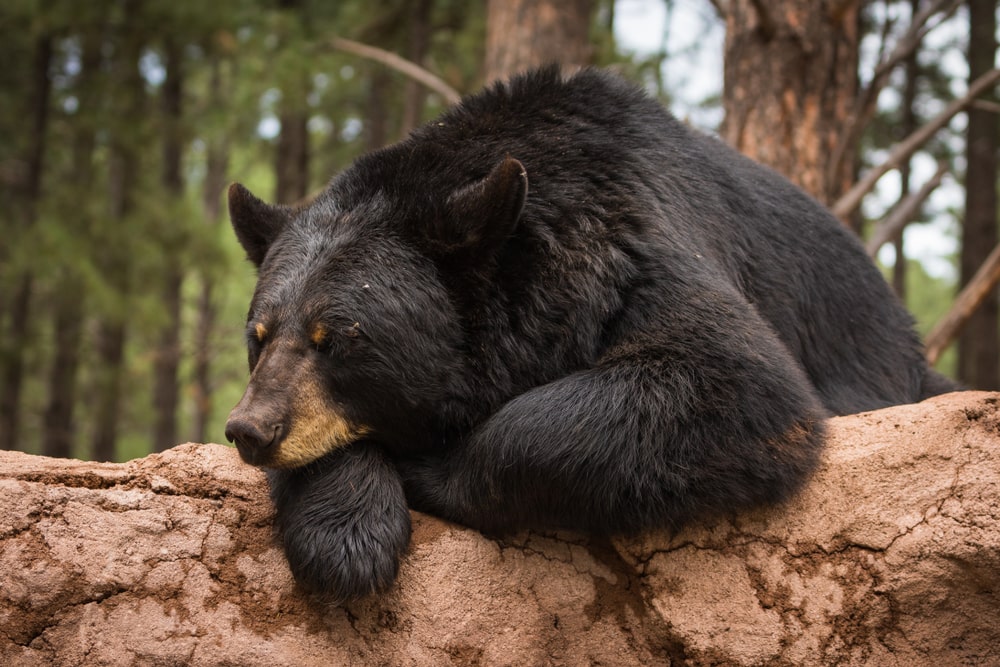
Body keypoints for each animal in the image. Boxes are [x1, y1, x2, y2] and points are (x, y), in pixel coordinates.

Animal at [224, 67, 954, 602]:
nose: (249, 429)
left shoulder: (631, 240)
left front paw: (430, 466)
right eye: (259, 334)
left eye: (337, 337)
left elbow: (734, 377)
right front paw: (346, 536)